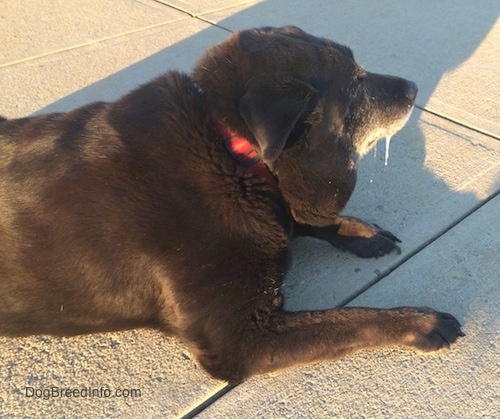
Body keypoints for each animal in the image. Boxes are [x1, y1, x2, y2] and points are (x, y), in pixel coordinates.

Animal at [0, 24, 462, 382]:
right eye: (355, 83)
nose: (414, 88)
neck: (232, 151)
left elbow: (300, 216)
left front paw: (362, 232)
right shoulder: (242, 341)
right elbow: (350, 319)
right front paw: (419, 321)